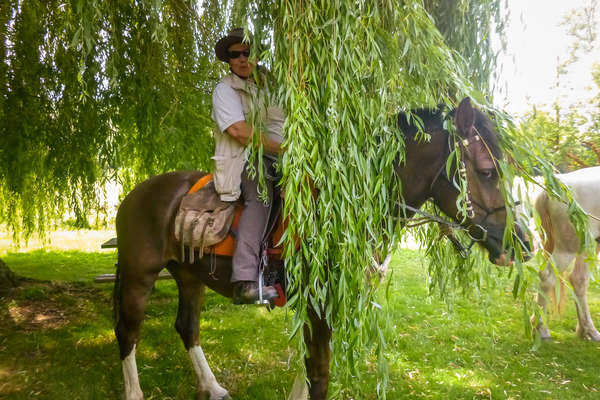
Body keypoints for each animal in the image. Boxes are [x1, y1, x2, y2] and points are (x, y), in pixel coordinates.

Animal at [113, 97, 528, 400]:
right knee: (127, 331)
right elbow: (320, 375)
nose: (522, 243)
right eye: (488, 172)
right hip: (139, 274)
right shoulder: (319, 307)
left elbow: (308, 371)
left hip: (189, 275)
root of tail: (134, 193)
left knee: (187, 327)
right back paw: (135, 393)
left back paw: (212, 387)